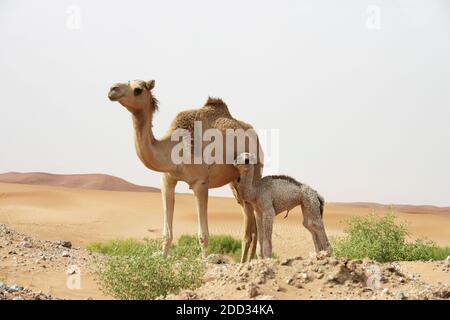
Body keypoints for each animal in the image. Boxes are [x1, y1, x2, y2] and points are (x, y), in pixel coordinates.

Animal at [108, 79, 264, 262]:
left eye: (138, 90)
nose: (112, 89)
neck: (176, 146)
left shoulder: (200, 183)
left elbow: (203, 235)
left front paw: (204, 260)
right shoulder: (167, 180)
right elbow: (166, 234)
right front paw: (163, 259)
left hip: (256, 169)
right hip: (236, 182)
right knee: (248, 219)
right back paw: (247, 261)